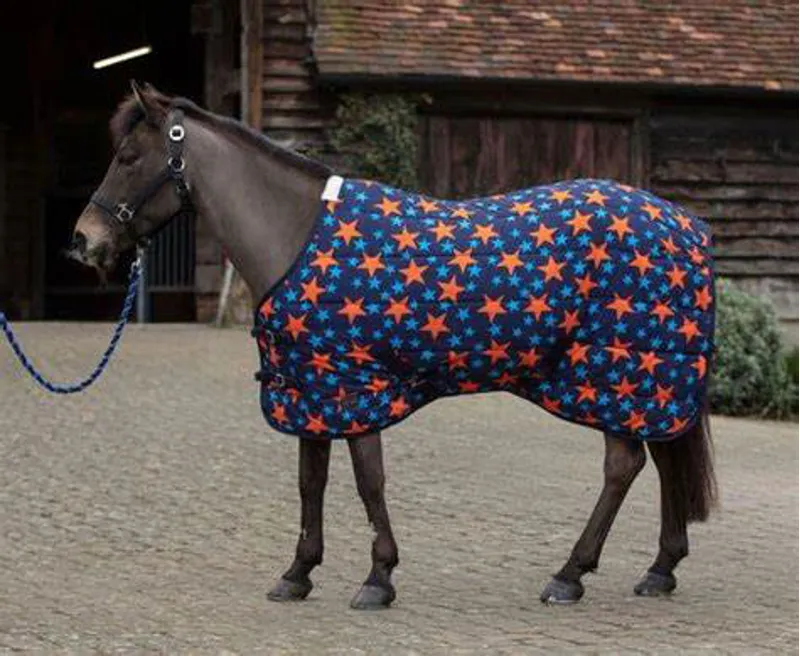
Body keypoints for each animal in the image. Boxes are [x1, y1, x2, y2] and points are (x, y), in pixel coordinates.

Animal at [69, 83, 716, 610]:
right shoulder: (313, 388)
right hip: (643, 379)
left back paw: (569, 575)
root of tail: (685, 224)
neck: (297, 234)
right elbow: (311, 481)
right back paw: (659, 569)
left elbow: (368, 480)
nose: (83, 241)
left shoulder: (357, 386)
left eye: (128, 158)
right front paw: (298, 573)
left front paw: (377, 578)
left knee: (623, 465)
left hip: (621, 373)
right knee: (661, 459)